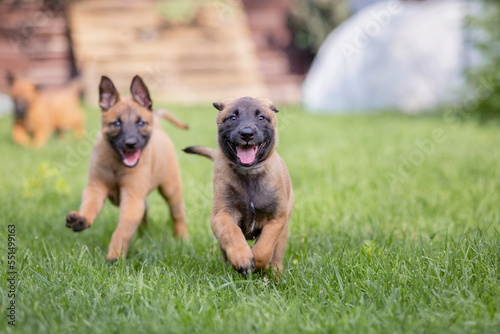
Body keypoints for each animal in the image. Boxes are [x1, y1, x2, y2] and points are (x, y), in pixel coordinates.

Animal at [66, 75, 188, 260]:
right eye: (117, 123)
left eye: (141, 123)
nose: (131, 144)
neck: (117, 164)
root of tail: (158, 126)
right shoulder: (96, 188)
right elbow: (89, 206)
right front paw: (81, 219)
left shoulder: (131, 197)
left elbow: (122, 230)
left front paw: (115, 255)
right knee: (145, 210)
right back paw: (143, 236)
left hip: (171, 189)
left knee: (177, 213)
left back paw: (182, 239)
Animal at [184, 96, 292, 274]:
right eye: (233, 118)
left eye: (261, 117)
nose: (247, 134)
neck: (249, 175)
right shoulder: (221, 215)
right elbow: (231, 232)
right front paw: (242, 257)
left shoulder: (276, 219)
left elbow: (265, 246)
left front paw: (257, 261)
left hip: (284, 228)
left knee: (277, 253)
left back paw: (275, 273)